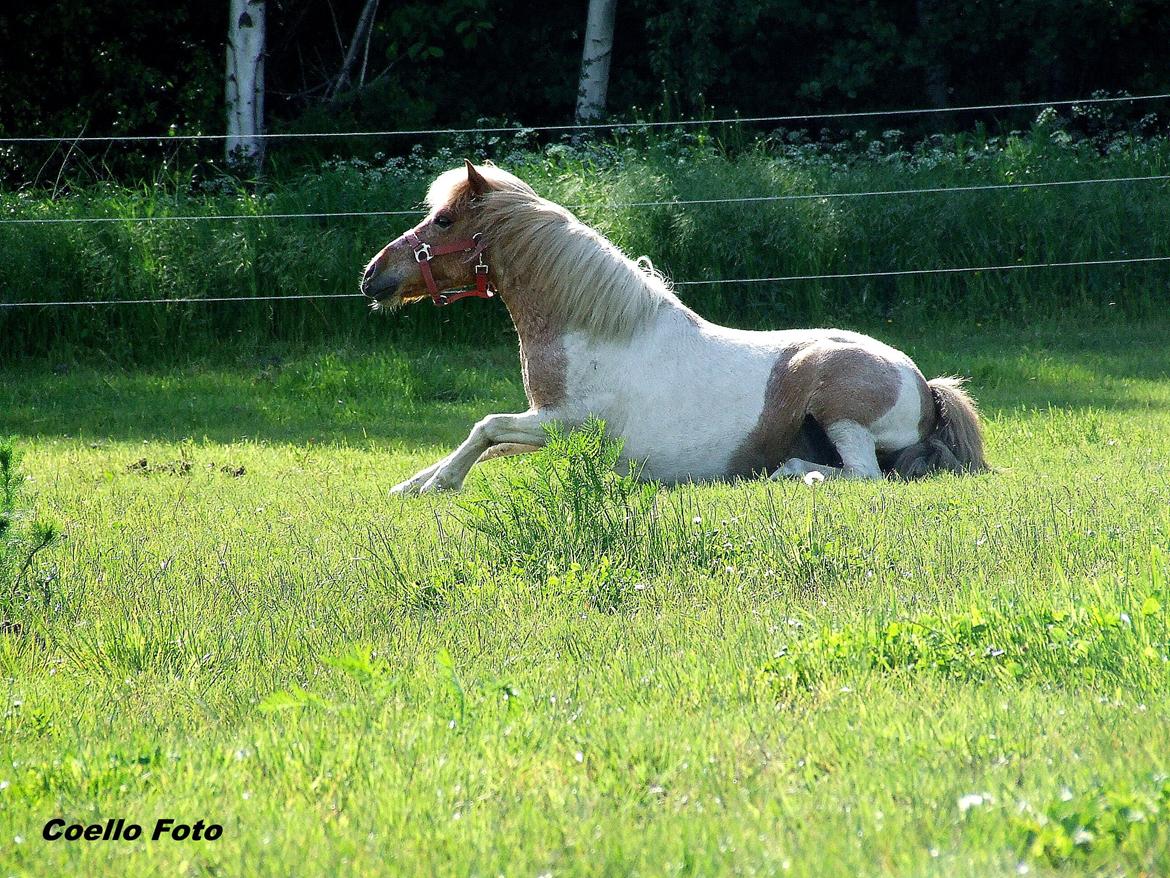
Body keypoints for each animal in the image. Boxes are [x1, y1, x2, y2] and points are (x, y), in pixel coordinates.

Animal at [360, 160, 982, 496]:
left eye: (443, 220)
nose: (372, 276)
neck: (596, 335)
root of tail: (925, 385)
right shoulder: (542, 423)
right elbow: (485, 444)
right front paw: (413, 483)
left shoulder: (565, 425)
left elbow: (485, 428)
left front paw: (438, 485)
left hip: (840, 411)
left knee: (863, 476)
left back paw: (791, 473)